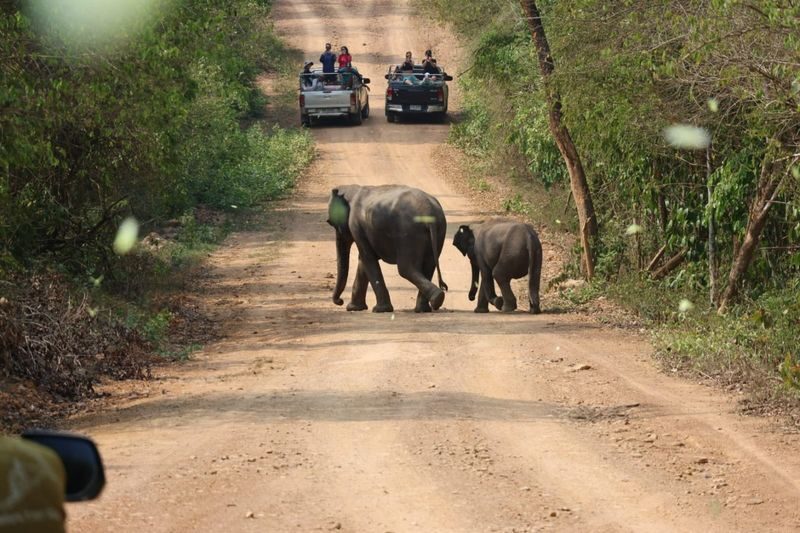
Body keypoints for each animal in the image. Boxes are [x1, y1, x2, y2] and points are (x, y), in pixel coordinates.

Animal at [327, 184, 448, 313]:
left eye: (329, 222)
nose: (340, 301)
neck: (353, 190)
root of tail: (429, 211)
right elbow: (363, 261)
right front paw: (354, 308)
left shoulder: (355, 225)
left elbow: (367, 258)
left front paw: (379, 309)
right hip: (439, 231)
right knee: (428, 267)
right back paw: (426, 307)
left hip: (409, 233)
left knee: (405, 268)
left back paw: (435, 299)